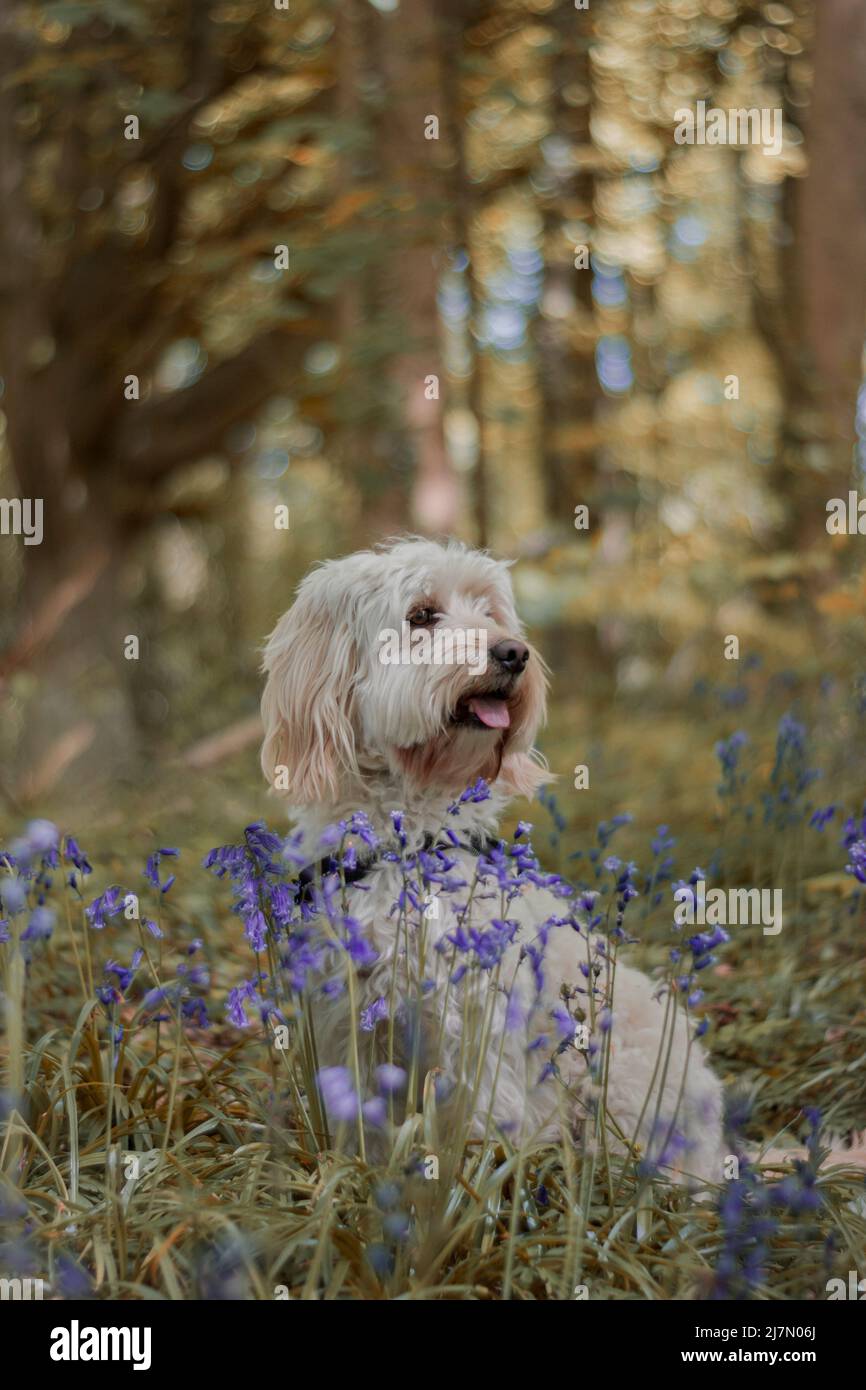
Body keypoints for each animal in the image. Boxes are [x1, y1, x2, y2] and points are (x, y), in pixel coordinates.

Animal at [261, 536, 861, 1189]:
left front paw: (470, 1185)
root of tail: (720, 1154)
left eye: (491, 612)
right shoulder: (345, 1022)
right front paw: (357, 1174)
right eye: (421, 616)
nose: (514, 652)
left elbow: (482, 1118)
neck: (410, 840)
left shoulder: (477, 1022)